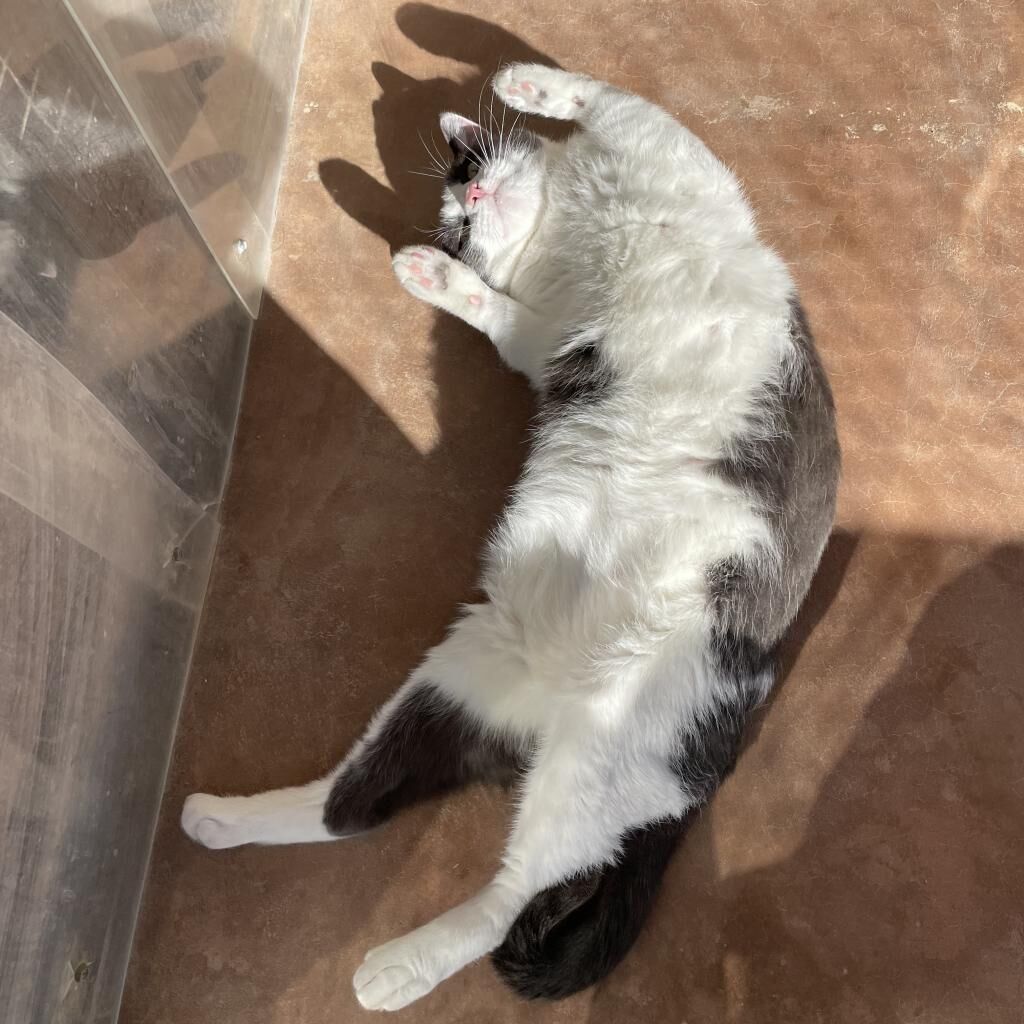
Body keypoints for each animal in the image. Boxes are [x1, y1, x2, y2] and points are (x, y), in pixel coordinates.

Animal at [181, 63, 840, 1011]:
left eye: (468, 170)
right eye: (458, 218)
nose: (472, 195)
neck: (572, 231)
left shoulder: (682, 172)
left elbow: (621, 104)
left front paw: (524, 81)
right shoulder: (547, 338)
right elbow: (499, 310)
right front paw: (431, 275)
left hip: (589, 758)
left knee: (514, 889)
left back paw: (388, 966)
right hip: (463, 681)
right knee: (368, 820)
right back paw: (232, 831)